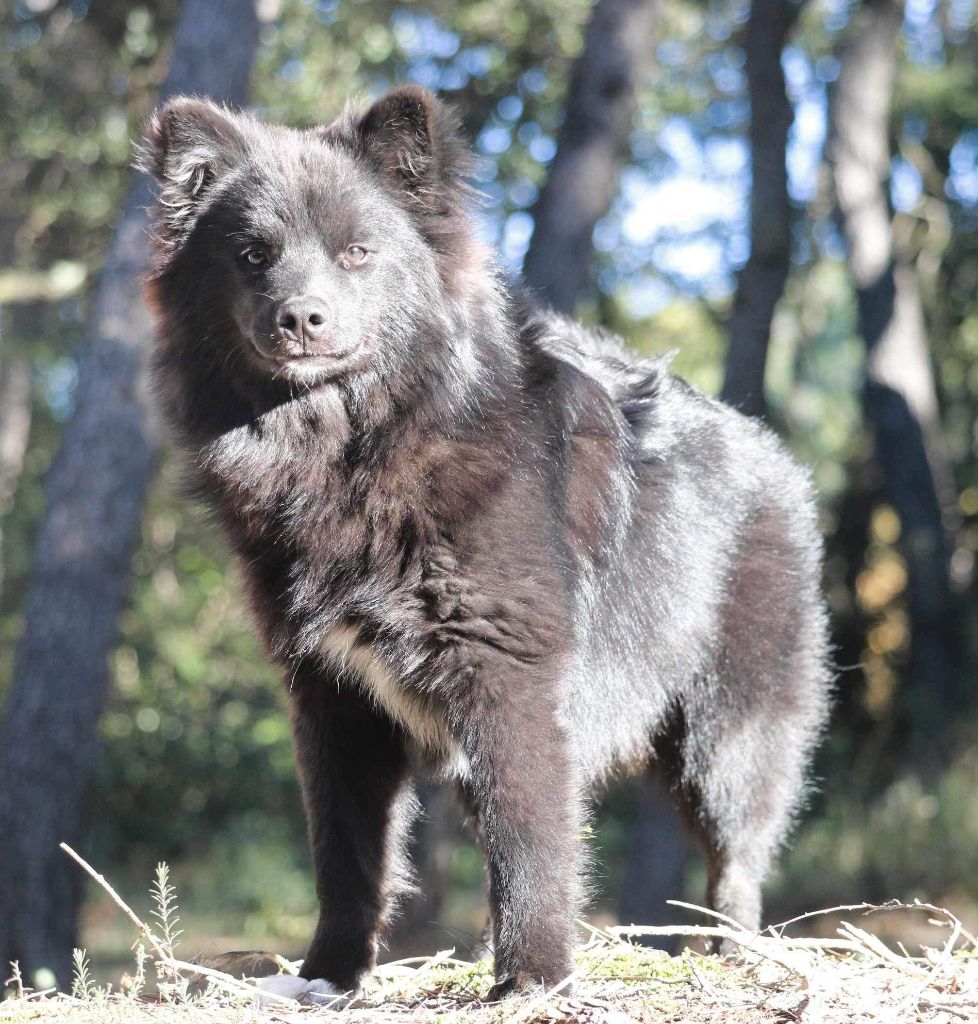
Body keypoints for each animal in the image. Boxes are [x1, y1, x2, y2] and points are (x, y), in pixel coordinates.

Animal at [141, 86, 835, 999]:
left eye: (357, 252)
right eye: (252, 256)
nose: (300, 318)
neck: (365, 445)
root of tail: (775, 454)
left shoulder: (510, 680)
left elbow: (529, 843)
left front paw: (534, 980)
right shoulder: (335, 698)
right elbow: (346, 857)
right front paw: (328, 979)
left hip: (728, 731)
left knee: (738, 855)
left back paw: (733, 958)